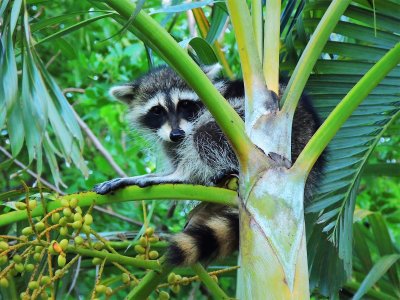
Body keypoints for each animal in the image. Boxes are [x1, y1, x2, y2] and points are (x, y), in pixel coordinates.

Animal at [93, 64, 322, 266]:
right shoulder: (169, 143)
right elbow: (176, 157)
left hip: (266, 133)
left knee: (205, 130)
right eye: (157, 110)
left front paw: (173, 176)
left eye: (185, 104)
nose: (176, 134)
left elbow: (192, 155)